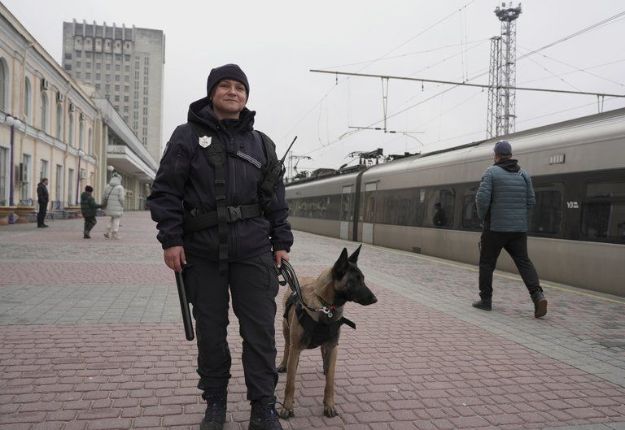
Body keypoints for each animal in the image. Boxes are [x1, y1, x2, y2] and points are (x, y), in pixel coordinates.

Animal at [276, 247, 376, 418]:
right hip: (286, 330)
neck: (325, 307)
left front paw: (329, 405)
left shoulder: (333, 346)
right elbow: (290, 384)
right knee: (287, 348)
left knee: (323, 353)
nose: (375, 299)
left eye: (363, 278)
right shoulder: (296, 348)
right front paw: (287, 407)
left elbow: (330, 381)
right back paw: (284, 364)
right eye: (355, 281)